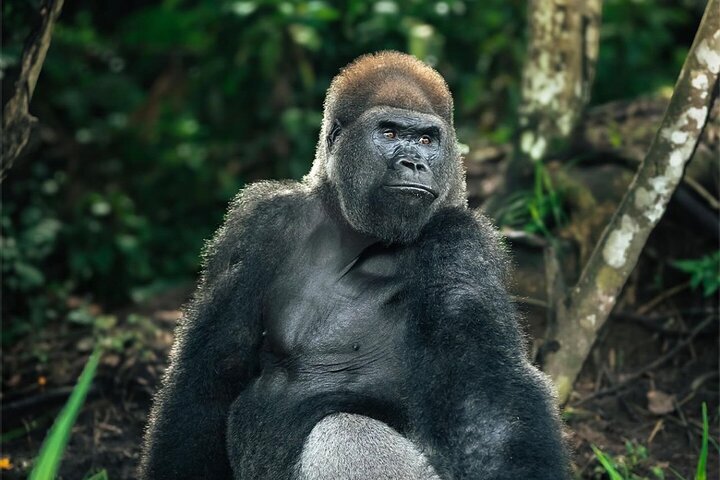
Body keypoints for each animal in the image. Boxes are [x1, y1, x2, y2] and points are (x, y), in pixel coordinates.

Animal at [140, 51, 569, 479]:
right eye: (389, 134)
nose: (414, 163)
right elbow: (211, 373)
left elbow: (487, 403)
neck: (353, 232)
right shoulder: (260, 222)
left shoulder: (460, 241)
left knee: (344, 430)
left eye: (426, 140)